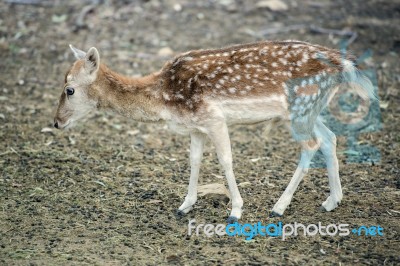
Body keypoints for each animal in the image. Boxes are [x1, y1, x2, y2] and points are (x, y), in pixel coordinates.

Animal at [54, 40, 376, 223]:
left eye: (69, 90)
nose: (57, 122)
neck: (164, 98)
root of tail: (345, 65)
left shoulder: (214, 119)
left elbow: (225, 161)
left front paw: (236, 210)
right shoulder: (196, 127)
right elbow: (194, 160)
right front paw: (185, 205)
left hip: (302, 105)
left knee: (311, 144)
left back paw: (279, 207)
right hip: (310, 109)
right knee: (330, 138)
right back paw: (332, 201)